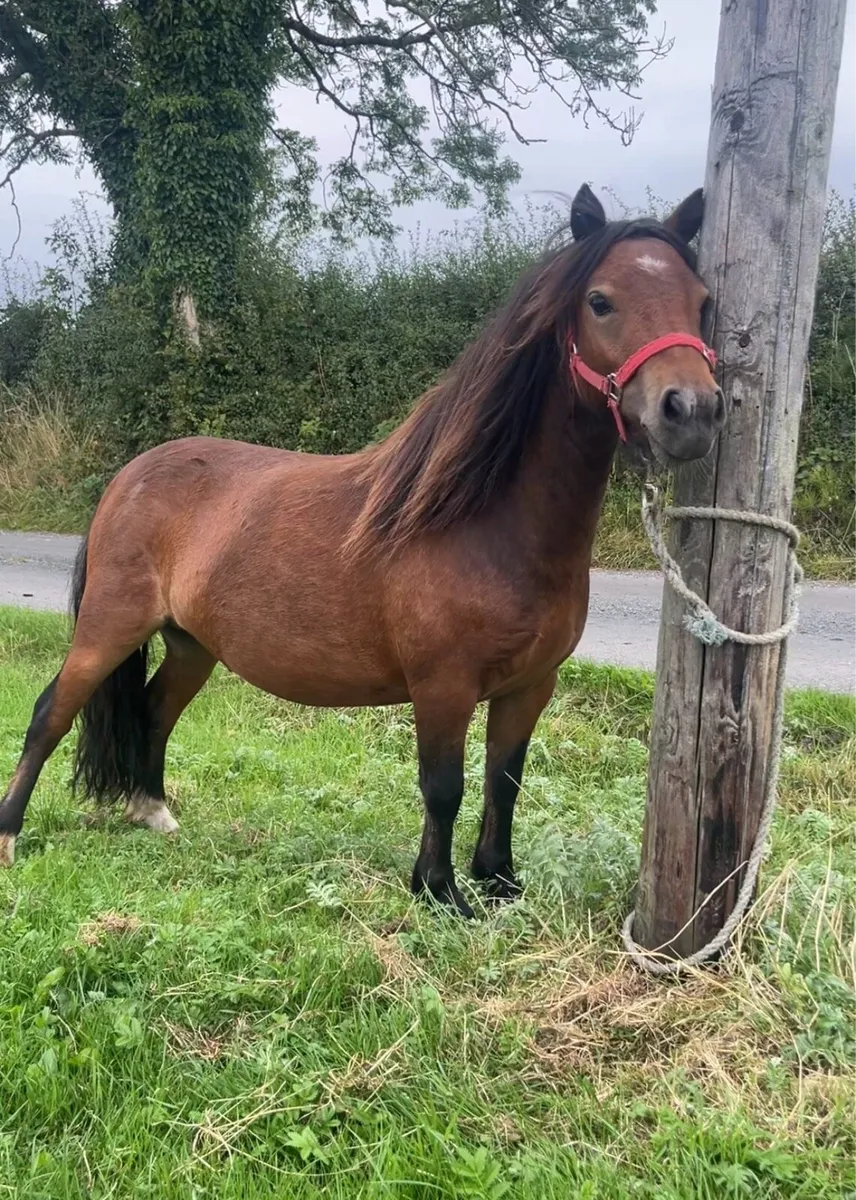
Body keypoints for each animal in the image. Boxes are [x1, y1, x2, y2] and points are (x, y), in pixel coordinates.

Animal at [0, 184, 725, 915]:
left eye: (703, 301)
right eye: (600, 300)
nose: (691, 411)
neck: (488, 522)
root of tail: (131, 475)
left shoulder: (530, 686)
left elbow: (505, 780)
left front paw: (499, 881)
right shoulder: (443, 687)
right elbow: (445, 786)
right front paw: (439, 892)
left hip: (192, 645)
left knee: (153, 710)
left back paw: (151, 811)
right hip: (110, 626)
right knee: (49, 713)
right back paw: (9, 834)